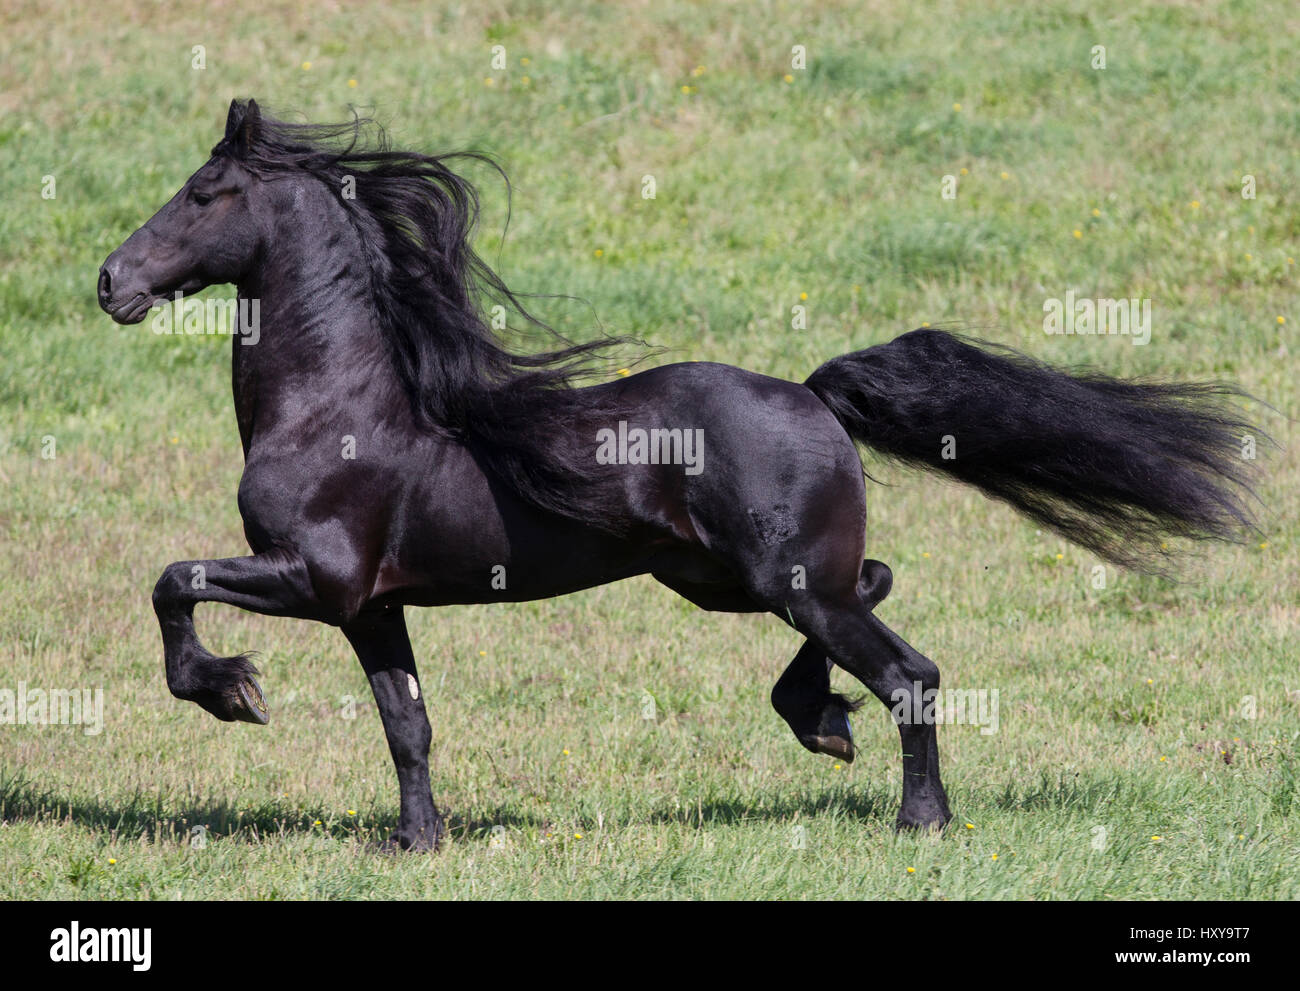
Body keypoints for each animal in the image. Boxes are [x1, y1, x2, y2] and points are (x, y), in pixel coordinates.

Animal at [96, 100, 1263, 847]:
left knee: (911, 671)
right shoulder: (373, 605)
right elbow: (407, 724)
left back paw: (915, 817)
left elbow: (170, 580)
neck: (337, 407)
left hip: (775, 583)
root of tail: (811, 394)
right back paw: (820, 720)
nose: (111, 281)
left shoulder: (314, 578)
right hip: (729, 580)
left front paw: (232, 693)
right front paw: (415, 843)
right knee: (872, 593)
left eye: (203, 193)